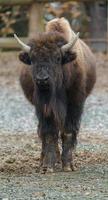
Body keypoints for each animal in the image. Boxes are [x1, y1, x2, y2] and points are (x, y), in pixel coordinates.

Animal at [14, 18, 96, 173]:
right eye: (32, 59)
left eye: (57, 58)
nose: (42, 79)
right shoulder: (44, 109)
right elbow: (49, 133)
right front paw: (48, 166)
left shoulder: (74, 105)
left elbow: (68, 132)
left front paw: (68, 165)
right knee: (42, 132)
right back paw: (45, 162)